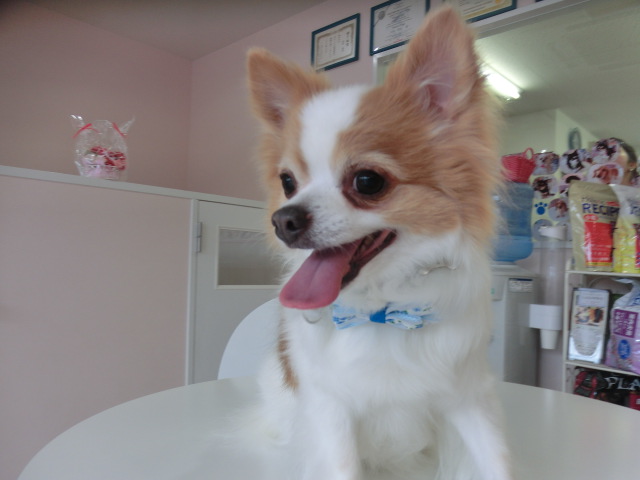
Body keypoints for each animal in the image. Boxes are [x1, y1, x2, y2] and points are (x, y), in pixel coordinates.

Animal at [247, 6, 511, 480]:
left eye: (367, 181)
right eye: (288, 182)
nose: (284, 219)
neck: (383, 309)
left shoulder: (469, 400)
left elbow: (496, 462)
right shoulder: (331, 413)